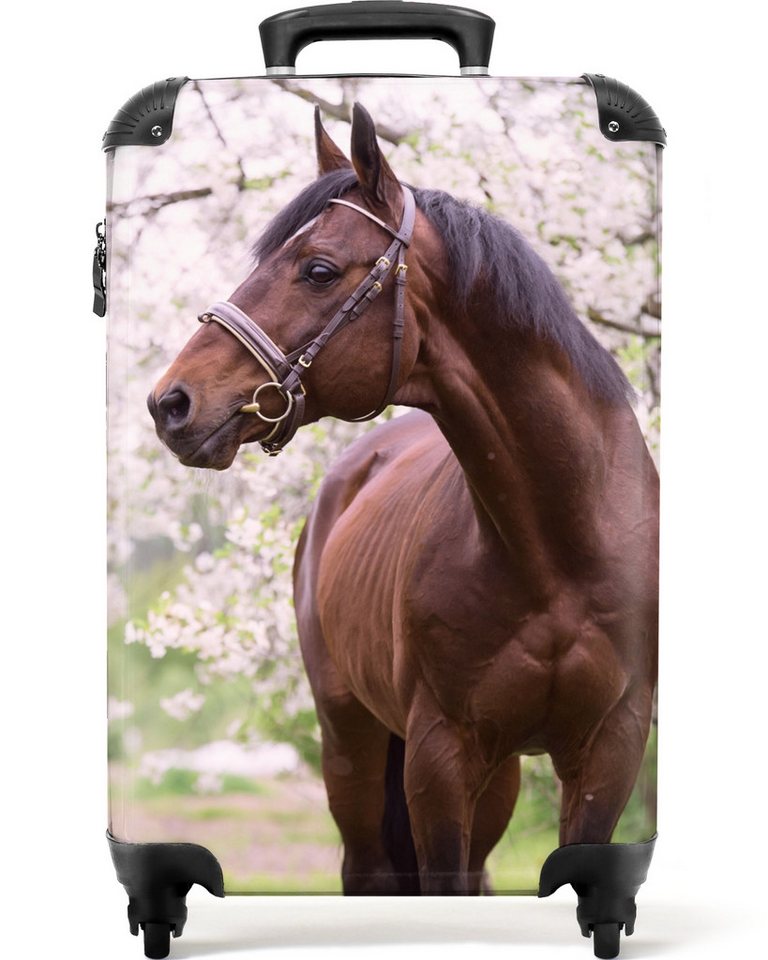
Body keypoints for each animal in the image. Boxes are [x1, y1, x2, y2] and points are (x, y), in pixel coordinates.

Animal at [148, 103, 659, 897]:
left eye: (318, 270)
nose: (171, 403)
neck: (561, 548)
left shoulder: (611, 747)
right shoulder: (438, 757)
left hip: (498, 774)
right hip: (351, 744)